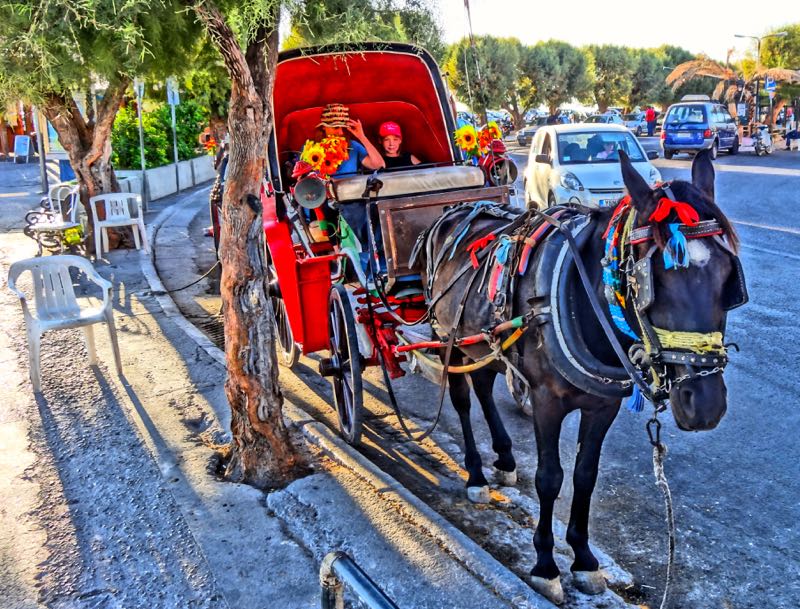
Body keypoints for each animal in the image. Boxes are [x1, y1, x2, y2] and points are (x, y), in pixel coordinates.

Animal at [416, 148, 748, 604]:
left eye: (727, 276)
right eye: (653, 281)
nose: (706, 404)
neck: (583, 301)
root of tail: (458, 209)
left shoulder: (602, 406)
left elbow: (585, 476)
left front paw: (584, 560)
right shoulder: (545, 401)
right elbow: (550, 478)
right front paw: (545, 564)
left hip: (481, 342)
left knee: (483, 386)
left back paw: (503, 457)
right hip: (443, 335)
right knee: (464, 400)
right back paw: (477, 474)